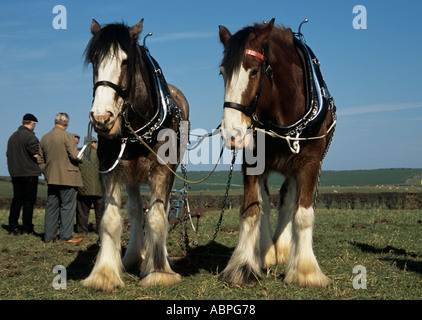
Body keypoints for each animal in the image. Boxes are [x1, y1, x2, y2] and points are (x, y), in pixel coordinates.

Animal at [81, 18, 190, 292]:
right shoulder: (112, 169)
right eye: (94, 61)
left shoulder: (162, 171)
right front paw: (104, 274)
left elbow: (157, 217)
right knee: (135, 209)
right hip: (131, 176)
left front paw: (159, 271)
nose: (101, 118)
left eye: (125, 61)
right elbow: (111, 219)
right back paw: (134, 256)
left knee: (157, 210)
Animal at [218, 18, 336, 288]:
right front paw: (242, 267)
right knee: (266, 202)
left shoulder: (310, 164)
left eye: (254, 71)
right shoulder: (252, 163)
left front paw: (305, 272)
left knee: (287, 200)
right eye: (222, 72)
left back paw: (283, 249)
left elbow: (303, 214)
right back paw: (266, 251)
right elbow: (252, 210)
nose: (231, 133)